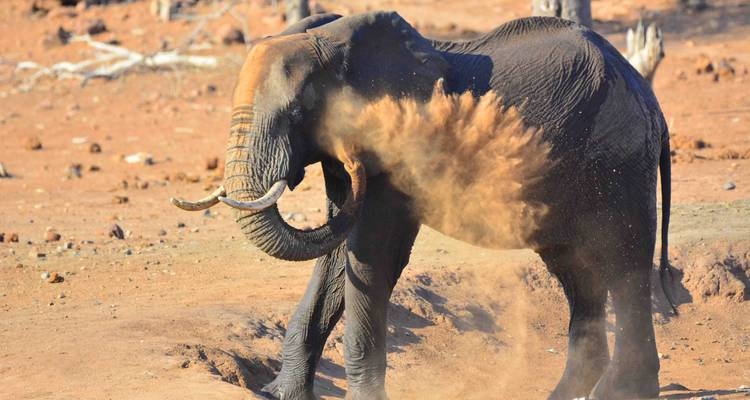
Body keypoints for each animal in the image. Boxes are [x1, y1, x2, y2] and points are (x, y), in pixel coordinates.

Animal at [171, 11, 673, 400]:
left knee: (625, 261)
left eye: (297, 113)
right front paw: (278, 394)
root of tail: (645, 91)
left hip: (619, 159)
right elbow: (337, 258)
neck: (337, 45)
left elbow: (371, 256)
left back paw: (623, 392)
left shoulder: (394, 152)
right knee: (579, 272)